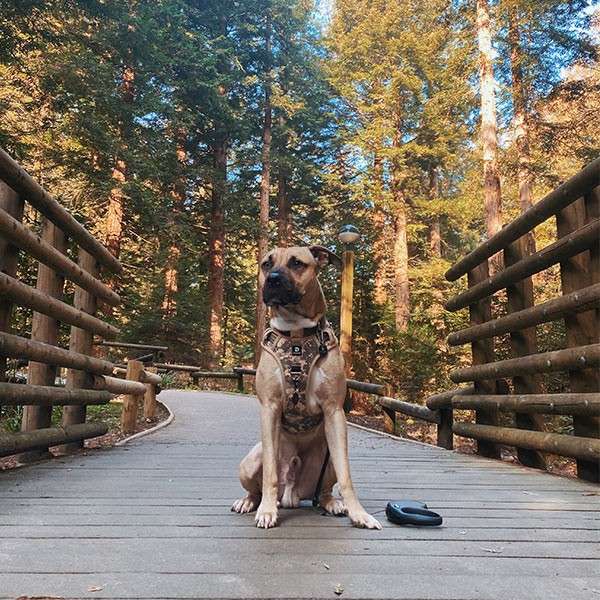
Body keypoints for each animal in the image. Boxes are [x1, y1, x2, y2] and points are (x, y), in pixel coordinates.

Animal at [230, 245, 380, 528]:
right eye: (266, 264)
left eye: (297, 263)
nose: (273, 279)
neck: (296, 335)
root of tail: (292, 494)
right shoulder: (269, 408)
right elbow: (269, 474)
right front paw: (267, 511)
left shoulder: (334, 412)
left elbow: (347, 476)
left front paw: (359, 513)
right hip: (250, 460)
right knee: (257, 487)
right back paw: (249, 502)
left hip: (327, 461)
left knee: (324, 491)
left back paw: (334, 504)